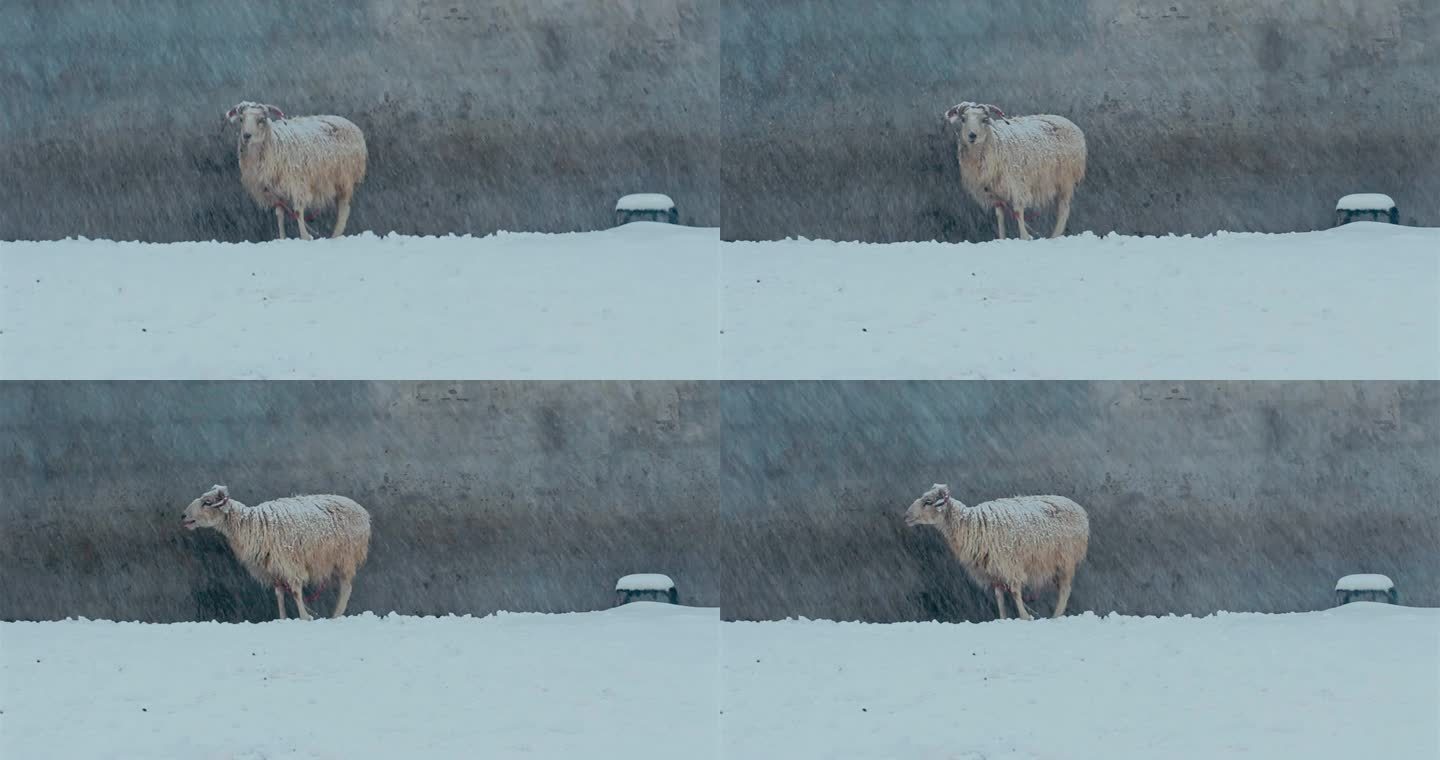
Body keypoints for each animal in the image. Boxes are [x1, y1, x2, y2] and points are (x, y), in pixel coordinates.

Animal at [181, 483, 371, 621]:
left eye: (207, 502)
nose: (183, 516)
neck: (251, 524)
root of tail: (362, 511)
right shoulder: (272, 567)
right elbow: (279, 594)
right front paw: (282, 618)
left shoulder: (289, 562)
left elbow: (295, 591)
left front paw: (305, 617)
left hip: (346, 556)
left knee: (346, 587)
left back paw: (336, 616)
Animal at [224, 101, 368, 240]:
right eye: (241, 119)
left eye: (262, 120)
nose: (246, 136)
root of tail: (352, 126)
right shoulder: (275, 191)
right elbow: (279, 214)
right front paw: (282, 238)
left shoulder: (297, 183)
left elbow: (298, 211)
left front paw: (305, 237)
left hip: (345, 178)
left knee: (344, 209)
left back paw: (335, 236)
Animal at [904, 483, 1082, 621]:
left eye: (928, 502)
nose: (906, 516)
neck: (970, 524)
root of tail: (1078, 507)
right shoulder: (993, 569)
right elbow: (999, 596)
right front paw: (1003, 618)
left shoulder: (1009, 564)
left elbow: (1015, 592)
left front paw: (1025, 617)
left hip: (1065, 560)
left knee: (1065, 590)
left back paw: (1056, 616)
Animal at [938, 99, 1082, 238]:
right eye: (963, 119)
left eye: (984, 119)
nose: (972, 135)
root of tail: (1068, 122)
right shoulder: (995, 192)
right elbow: (999, 215)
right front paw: (1002, 238)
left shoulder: (1017, 185)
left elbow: (1018, 211)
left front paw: (1025, 237)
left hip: (1066, 180)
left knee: (1064, 209)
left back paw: (1054, 236)